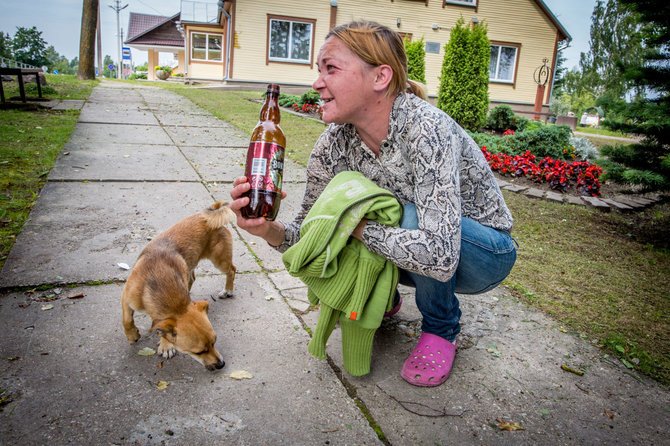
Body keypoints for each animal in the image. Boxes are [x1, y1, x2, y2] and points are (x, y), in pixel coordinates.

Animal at [122, 202, 238, 370]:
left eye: (214, 342)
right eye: (199, 352)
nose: (221, 364)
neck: (157, 280)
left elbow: (161, 329)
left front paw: (165, 345)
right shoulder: (127, 298)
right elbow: (127, 319)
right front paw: (132, 335)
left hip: (219, 259)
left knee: (232, 270)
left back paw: (228, 290)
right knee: (195, 277)